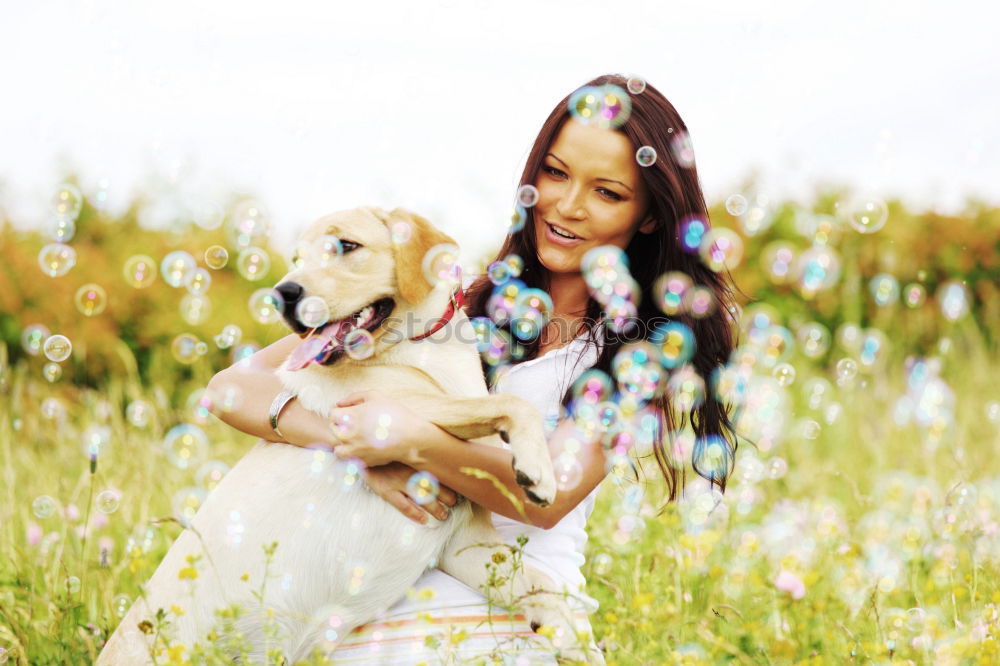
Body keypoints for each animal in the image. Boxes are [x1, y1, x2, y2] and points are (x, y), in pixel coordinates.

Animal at [99, 206, 584, 660]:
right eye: (297, 258)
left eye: (346, 246)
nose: (281, 294)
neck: (417, 348)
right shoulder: (391, 411)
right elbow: (509, 405)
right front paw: (538, 470)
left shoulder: (465, 541)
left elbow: (544, 589)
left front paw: (578, 644)